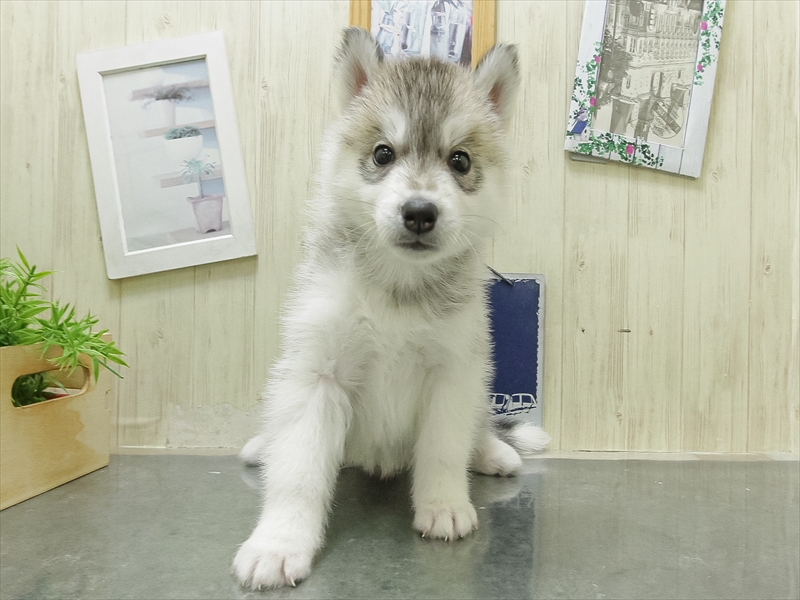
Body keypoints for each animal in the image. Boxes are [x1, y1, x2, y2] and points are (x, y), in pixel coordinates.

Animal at [232, 27, 549, 590]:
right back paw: (262, 446)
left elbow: (443, 450)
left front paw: (444, 505)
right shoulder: (317, 375)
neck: (399, 288)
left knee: (475, 427)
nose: (420, 212)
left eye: (460, 161)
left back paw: (492, 450)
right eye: (383, 153)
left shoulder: (453, 371)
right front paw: (279, 542)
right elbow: (298, 474)